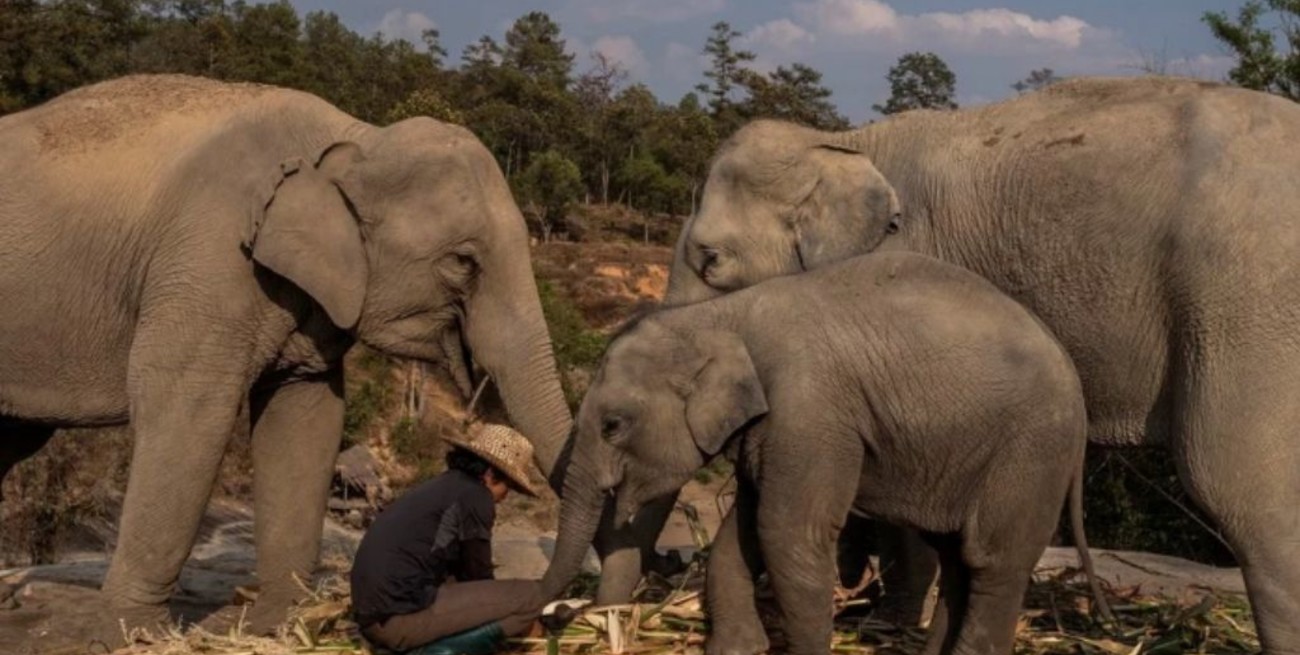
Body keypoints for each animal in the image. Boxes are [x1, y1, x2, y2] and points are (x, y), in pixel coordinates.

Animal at [0, 75, 572, 642]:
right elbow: (190, 413)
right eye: (463, 262)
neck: (355, 136)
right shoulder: (210, 260)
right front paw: (136, 638)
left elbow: (305, 417)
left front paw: (281, 621)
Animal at [541, 251, 1101, 655]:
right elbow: (742, 534)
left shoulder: (808, 411)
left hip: (1030, 452)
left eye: (613, 426)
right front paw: (737, 649)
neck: (721, 315)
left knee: (992, 560)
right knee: (957, 555)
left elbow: (788, 531)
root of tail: (1077, 386)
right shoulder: (771, 427)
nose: (566, 618)